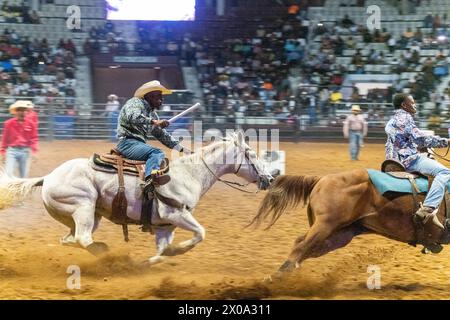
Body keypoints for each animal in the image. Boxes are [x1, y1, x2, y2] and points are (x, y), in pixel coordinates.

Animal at [0, 131, 272, 264]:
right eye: (250, 153)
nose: (269, 178)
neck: (188, 174)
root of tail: (47, 177)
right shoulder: (176, 213)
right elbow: (200, 234)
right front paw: (180, 249)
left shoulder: (165, 225)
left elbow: (161, 251)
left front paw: (161, 257)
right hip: (83, 206)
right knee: (83, 238)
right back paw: (105, 253)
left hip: (86, 215)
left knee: (69, 239)